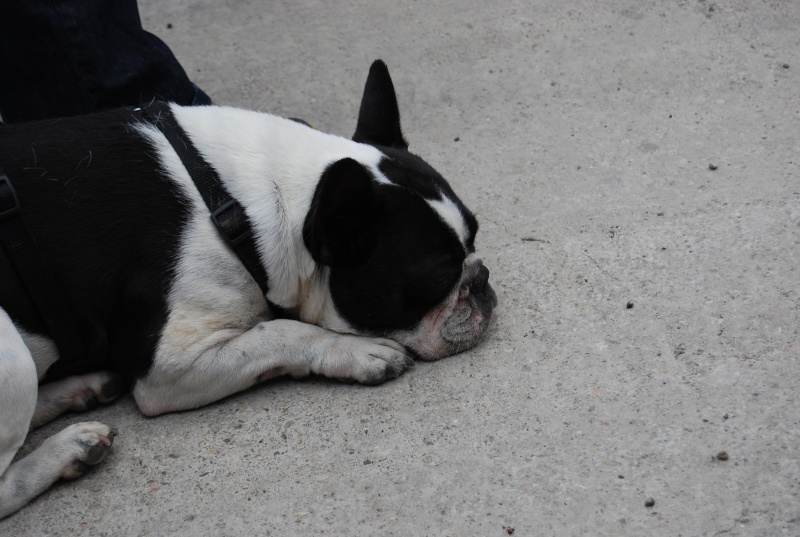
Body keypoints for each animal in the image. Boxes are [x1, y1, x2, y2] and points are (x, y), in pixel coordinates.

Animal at [0, 59, 496, 516]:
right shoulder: (167, 370)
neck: (233, 204)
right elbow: (279, 332)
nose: (482, 279)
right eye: (437, 277)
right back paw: (69, 449)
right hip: (13, 356)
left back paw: (80, 389)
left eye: (474, 236)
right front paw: (355, 352)